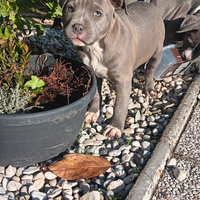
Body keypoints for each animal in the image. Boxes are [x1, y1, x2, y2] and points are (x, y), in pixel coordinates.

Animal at [57, 0, 164, 137]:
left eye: (97, 13)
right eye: (70, 8)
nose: (77, 27)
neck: (95, 47)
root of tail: (151, 4)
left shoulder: (123, 82)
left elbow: (120, 105)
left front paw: (115, 127)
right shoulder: (93, 75)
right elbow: (96, 94)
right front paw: (93, 112)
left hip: (157, 52)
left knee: (150, 70)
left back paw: (149, 89)